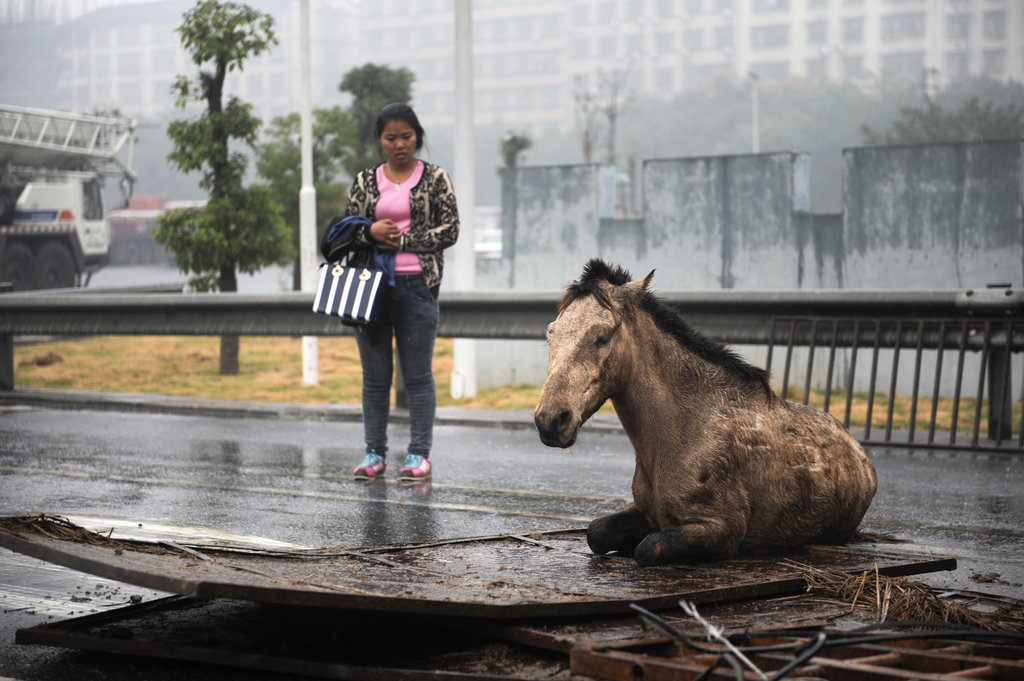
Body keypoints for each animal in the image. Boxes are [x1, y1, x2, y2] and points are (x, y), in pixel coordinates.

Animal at [532, 258, 876, 565]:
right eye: (550, 334)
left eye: (602, 337)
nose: (550, 420)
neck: (684, 432)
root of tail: (860, 454)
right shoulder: (646, 512)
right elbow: (596, 532)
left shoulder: (722, 530)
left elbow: (649, 548)